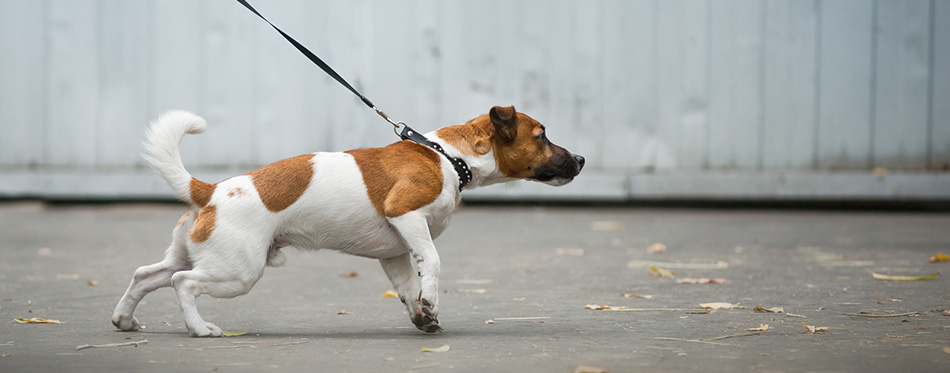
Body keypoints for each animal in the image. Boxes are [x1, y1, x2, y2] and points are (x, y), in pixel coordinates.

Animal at [113, 106, 588, 336]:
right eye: (542, 135)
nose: (582, 159)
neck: (448, 157)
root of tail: (211, 191)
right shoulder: (407, 215)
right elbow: (432, 264)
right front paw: (431, 302)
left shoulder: (395, 252)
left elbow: (408, 288)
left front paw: (423, 316)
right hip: (237, 271)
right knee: (183, 284)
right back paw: (199, 329)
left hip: (194, 256)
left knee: (146, 276)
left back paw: (124, 320)